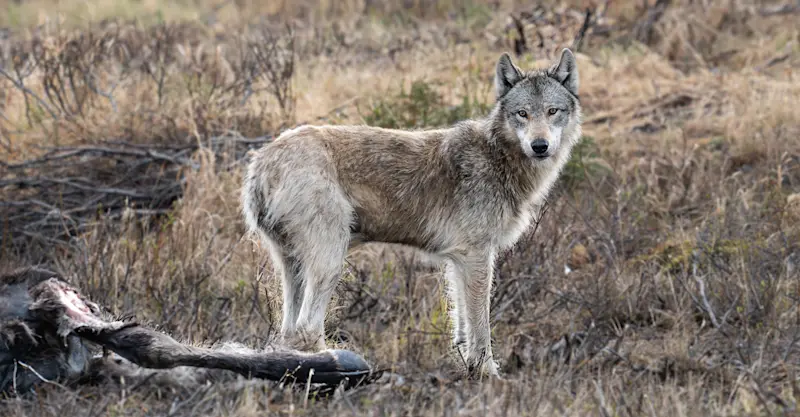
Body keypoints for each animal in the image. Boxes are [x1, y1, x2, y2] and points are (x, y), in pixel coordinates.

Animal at [241, 48, 582, 377]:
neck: (498, 156)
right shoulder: (477, 256)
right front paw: (488, 375)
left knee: (288, 332)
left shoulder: (459, 260)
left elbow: (461, 327)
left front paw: (466, 369)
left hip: (293, 267)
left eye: (552, 111)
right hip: (331, 263)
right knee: (307, 329)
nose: (540, 146)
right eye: (522, 114)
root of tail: (263, 160)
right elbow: (481, 327)